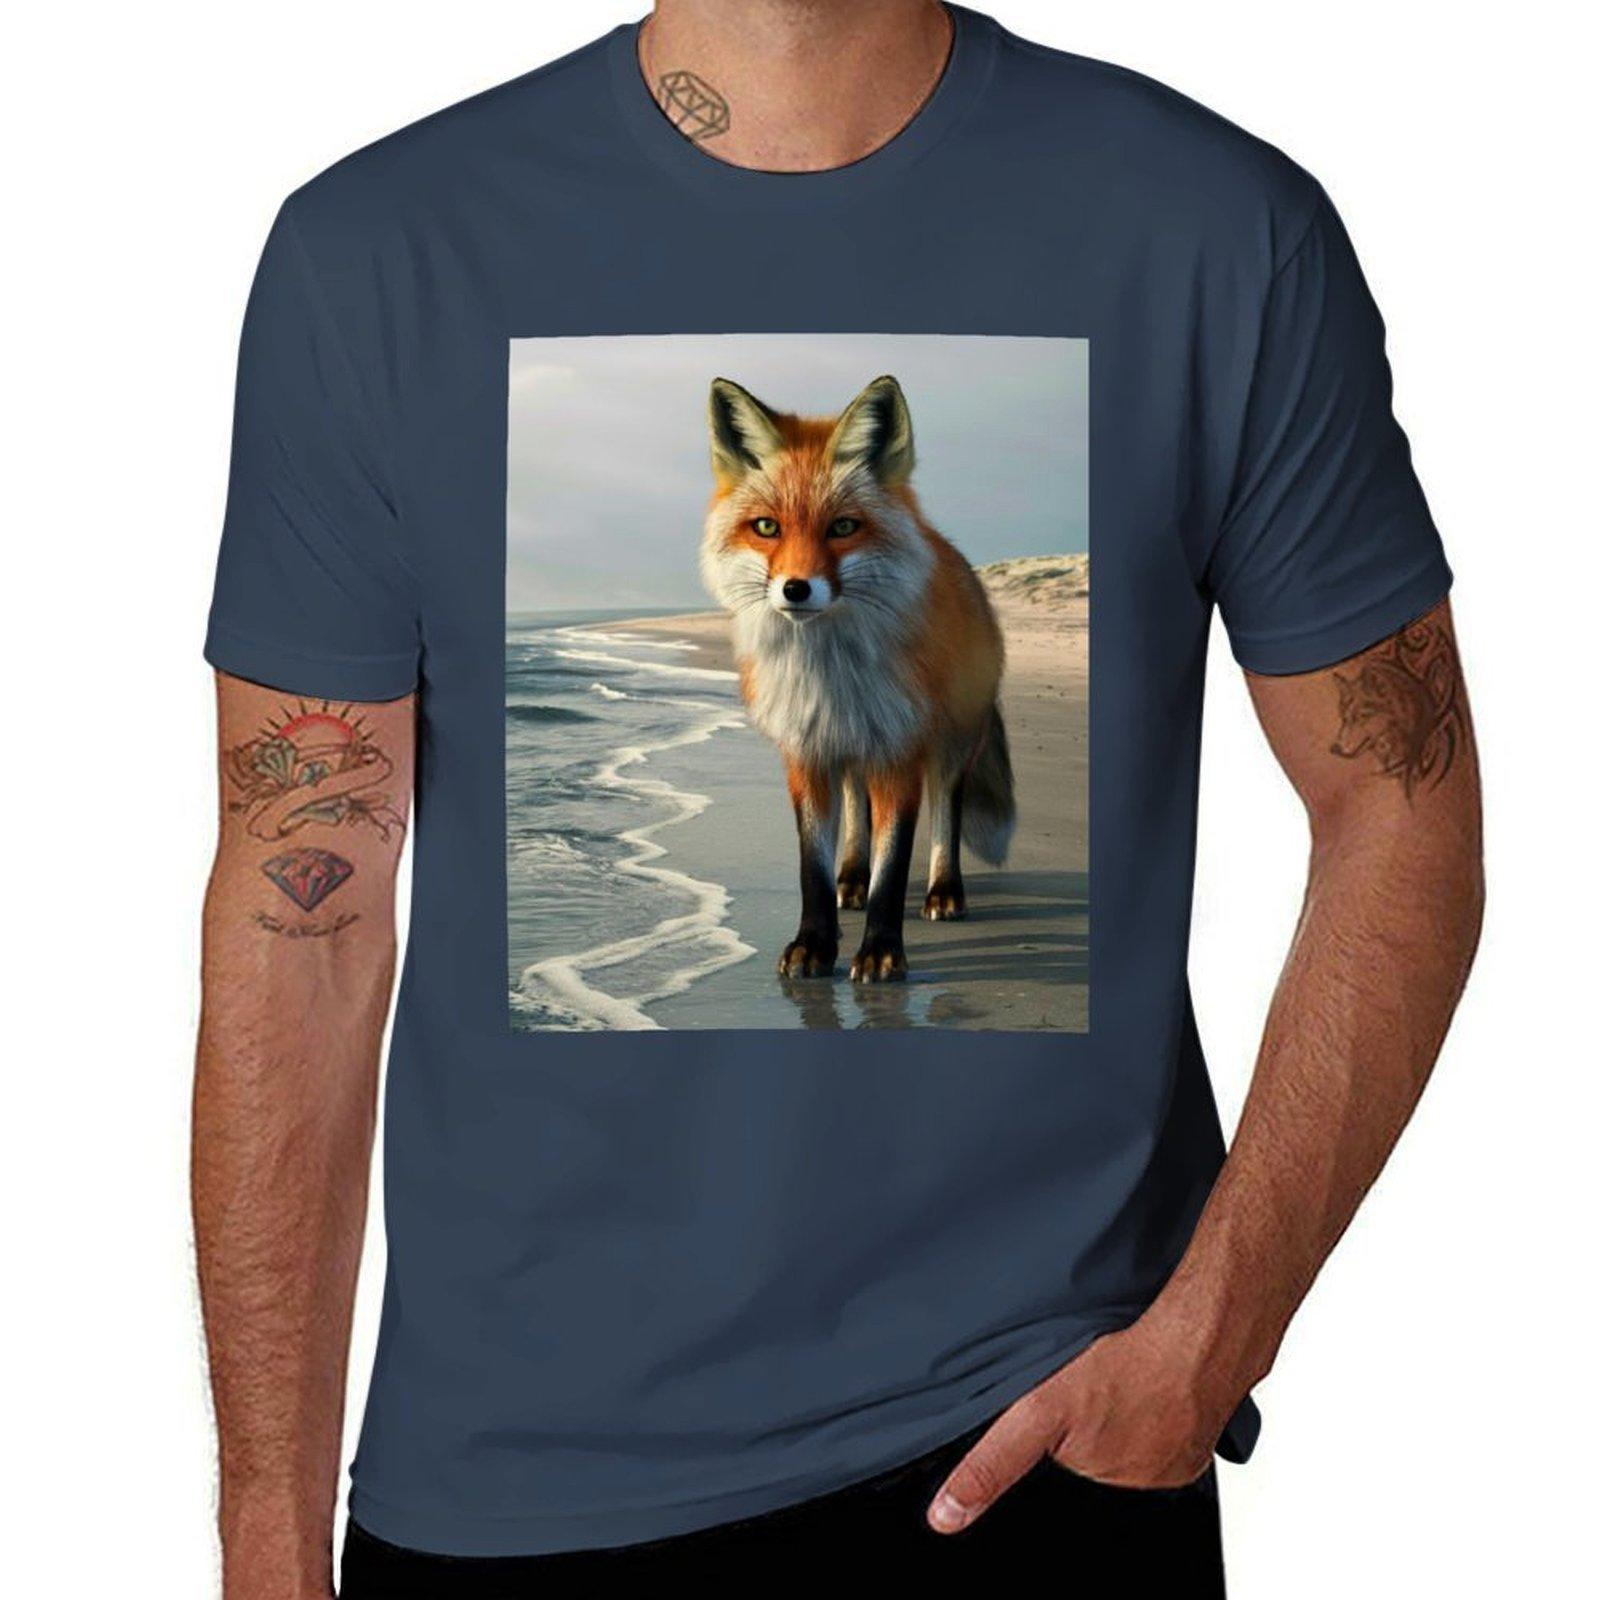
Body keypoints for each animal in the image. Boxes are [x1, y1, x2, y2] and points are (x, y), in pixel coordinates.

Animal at [700, 373, 1015, 983]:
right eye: (767, 527)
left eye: (843, 527)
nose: (796, 588)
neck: (832, 676)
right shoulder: (805, 752)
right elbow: (812, 867)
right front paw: (814, 944)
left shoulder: (899, 753)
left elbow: (893, 870)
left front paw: (881, 952)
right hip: (847, 751)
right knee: (854, 808)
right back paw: (851, 878)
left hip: (951, 743)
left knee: (947, 813)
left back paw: (944, 891)